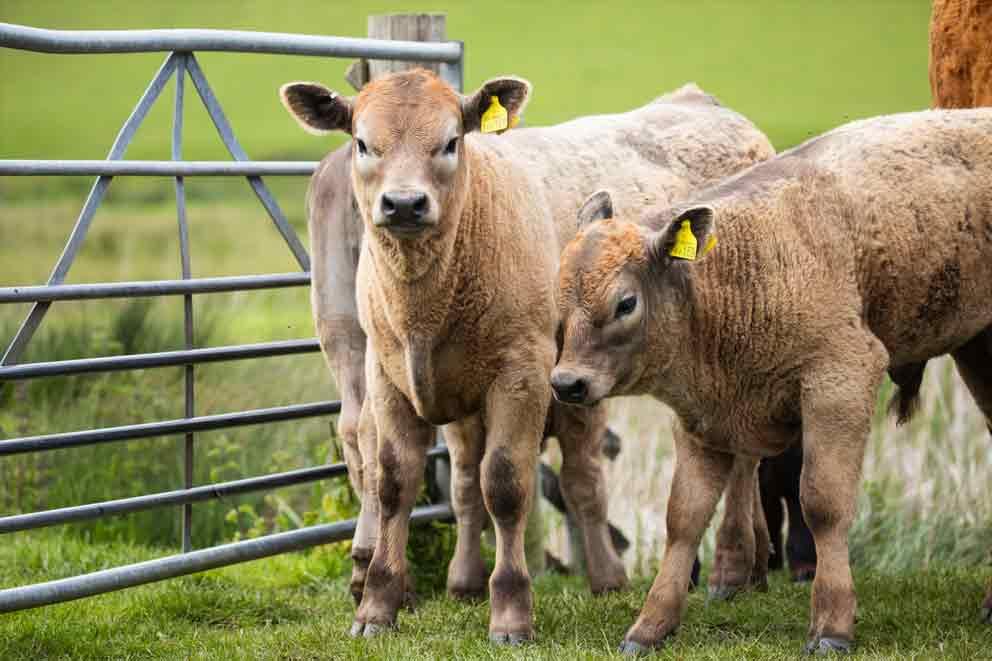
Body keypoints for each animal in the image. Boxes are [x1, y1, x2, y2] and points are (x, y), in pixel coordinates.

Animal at [552, 108, 992, 653]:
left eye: (625, 303)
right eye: (559, 296)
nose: (567, 383)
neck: (750, 265)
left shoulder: (840, 382)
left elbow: (823, 504)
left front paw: (831, 625)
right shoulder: (702, 419)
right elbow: (684, 518)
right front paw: (649, 627)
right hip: (977, 350)